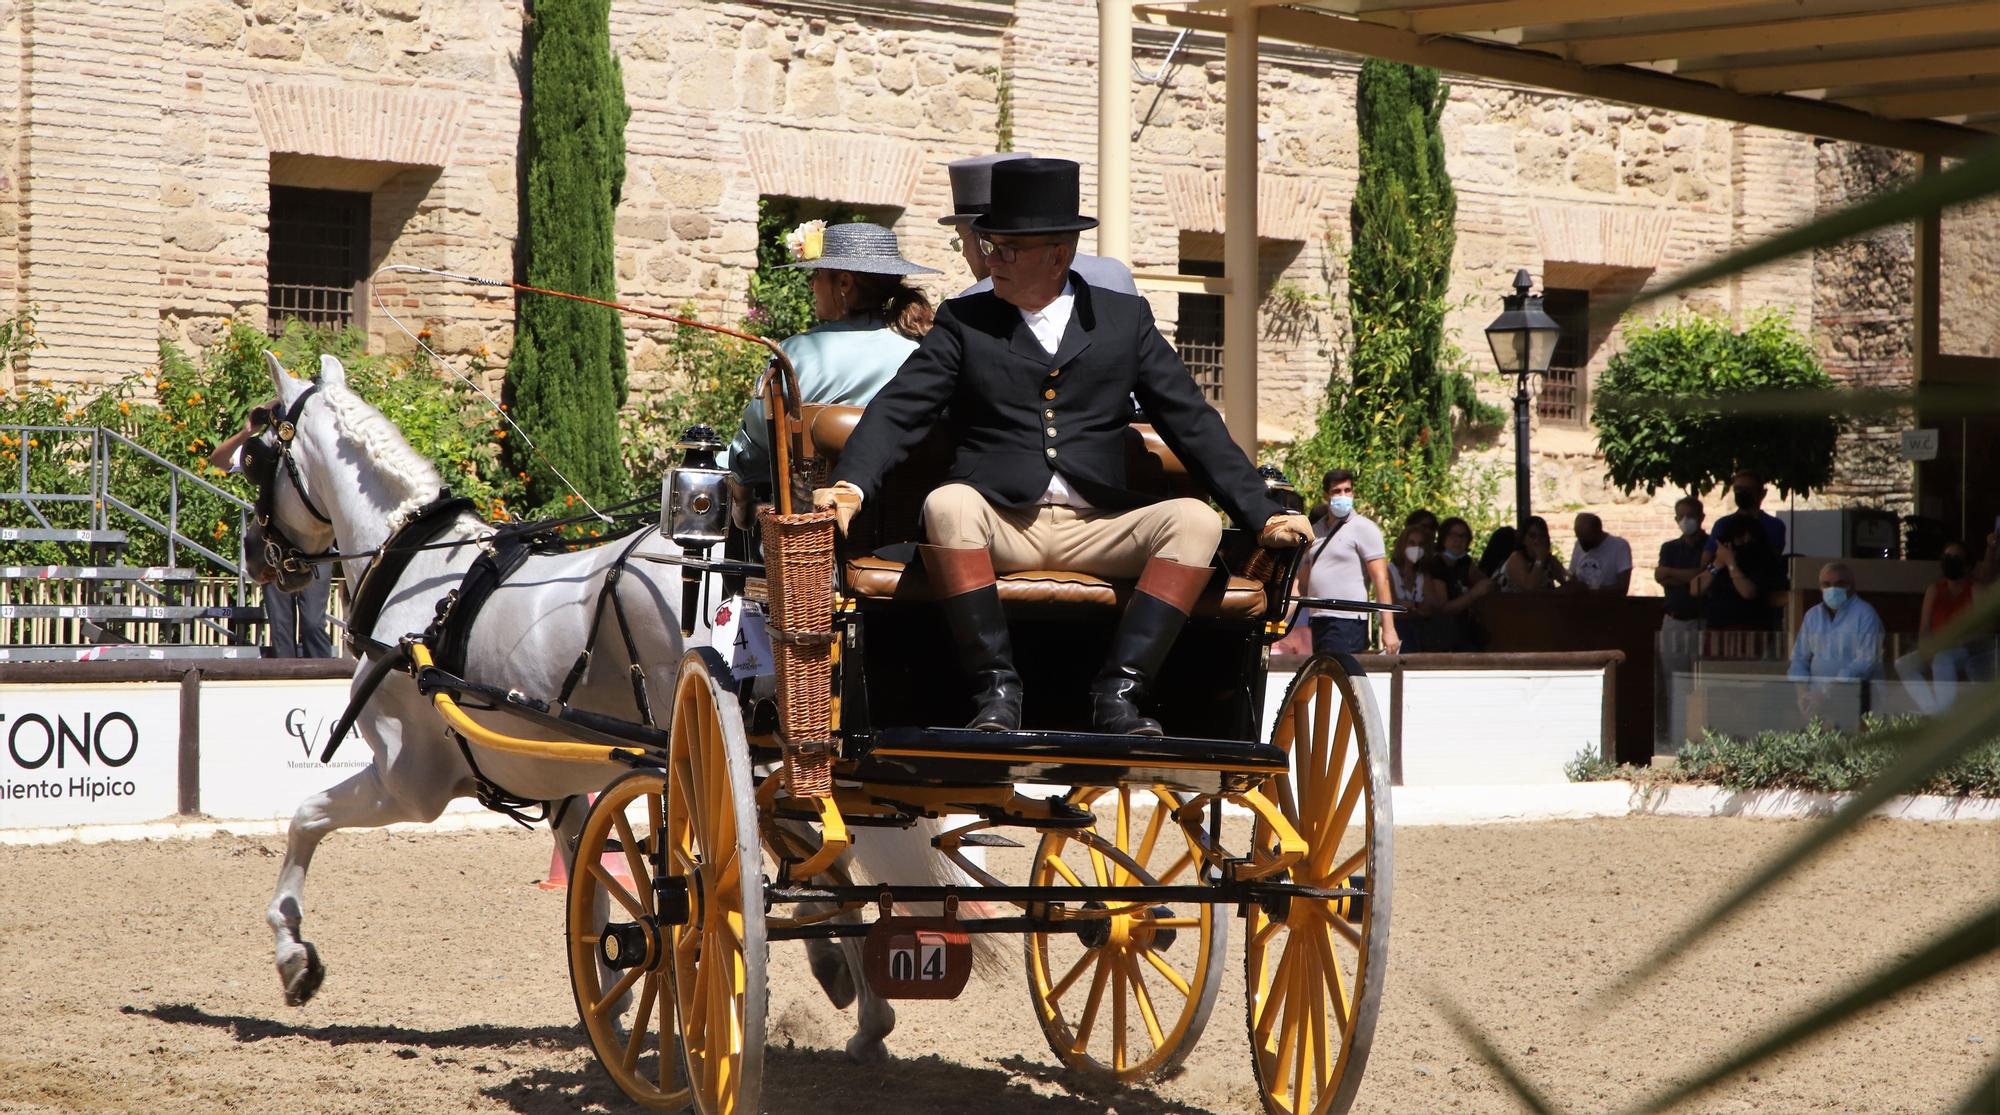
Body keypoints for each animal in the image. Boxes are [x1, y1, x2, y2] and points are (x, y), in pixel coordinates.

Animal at [250, 355, 928, 1063]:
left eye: (254, 453)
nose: (255, 553)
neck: (419, 579)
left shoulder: (409, 785)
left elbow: (304, 819)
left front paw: (293, 955)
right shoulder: (565, 789)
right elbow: (592, 886)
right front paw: (613, 994)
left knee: (817, 858)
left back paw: (847, 989)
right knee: (831, 859)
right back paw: (860, 1004)